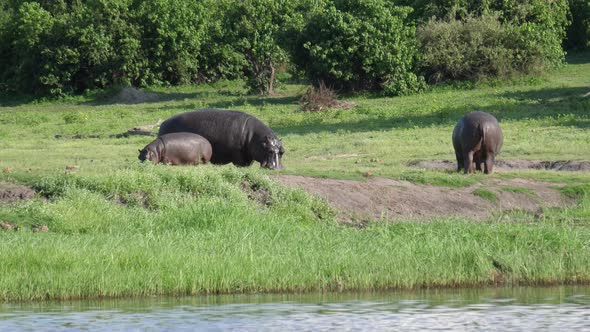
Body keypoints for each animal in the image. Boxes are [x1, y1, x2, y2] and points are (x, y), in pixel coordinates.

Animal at [157, 109, 286, 170]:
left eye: (282, 152)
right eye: (269, 150)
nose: (277, 168)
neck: (256, 138)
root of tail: (163, 123)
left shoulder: (250, 155)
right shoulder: (238, 153)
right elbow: (240, 164)